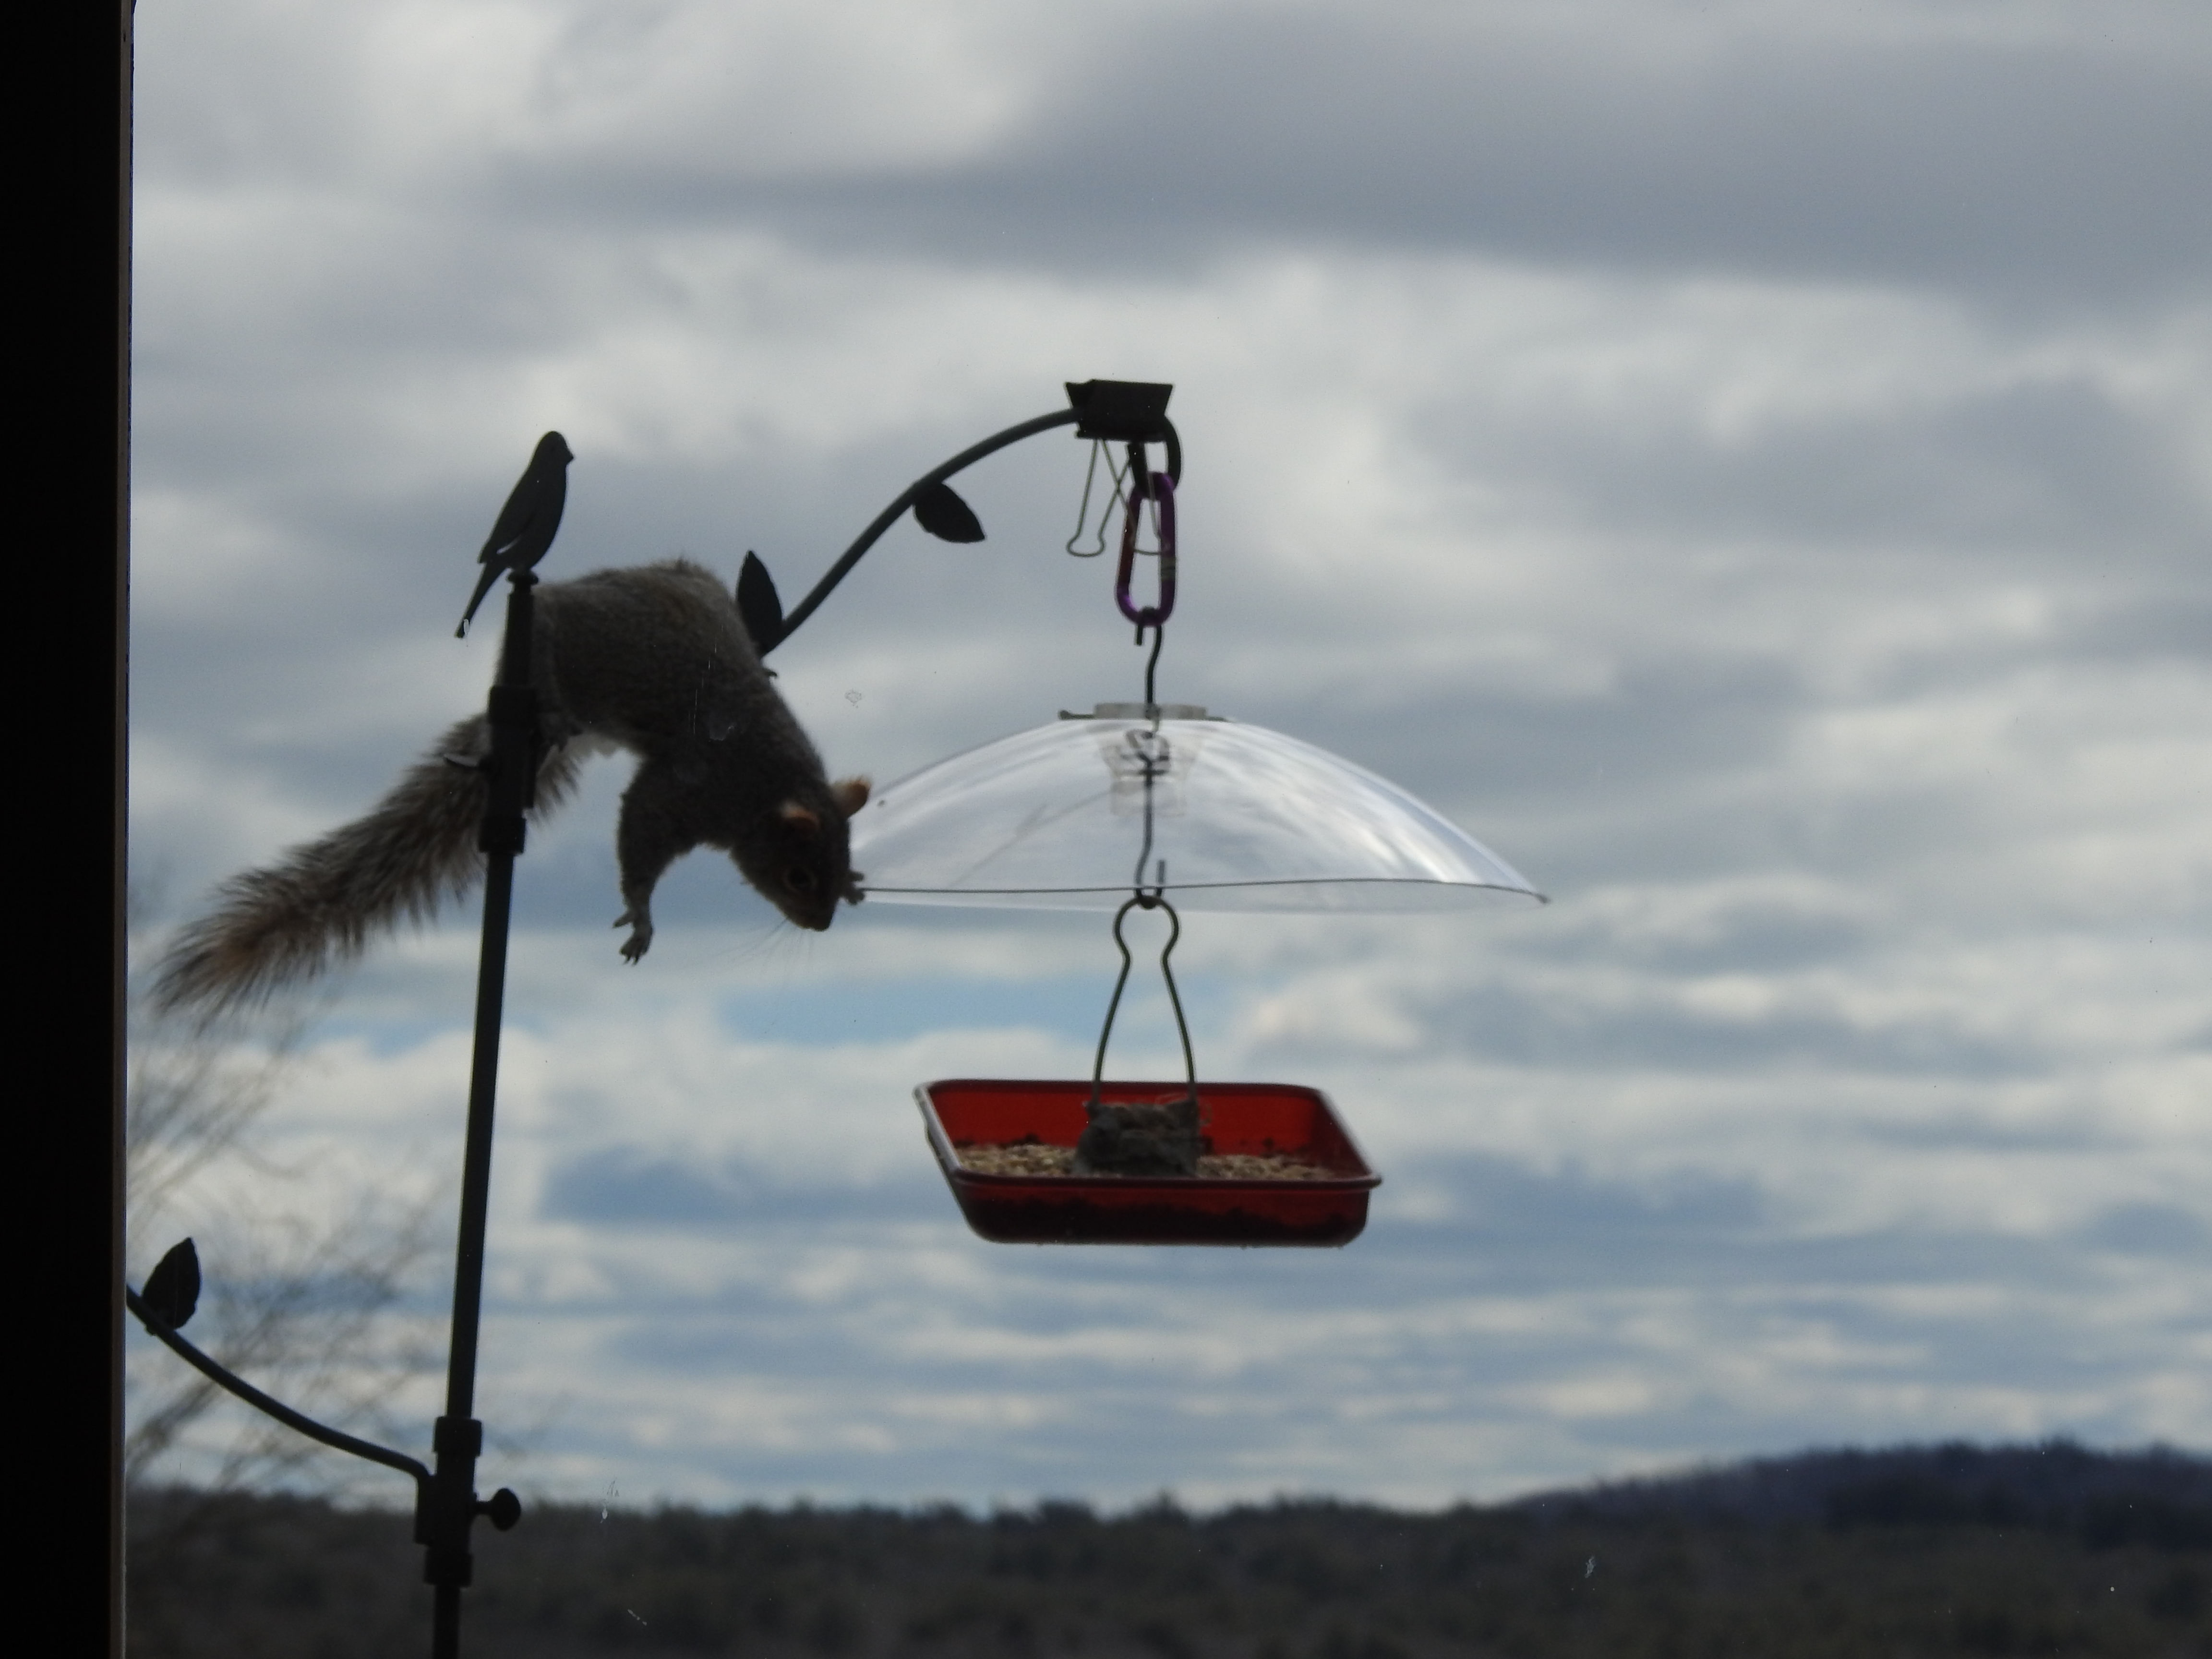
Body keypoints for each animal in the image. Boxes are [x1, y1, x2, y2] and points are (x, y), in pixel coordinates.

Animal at [153, 558, 870, 1018]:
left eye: (841, 863)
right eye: (798, 876)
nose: (822, 924)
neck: (770, 787)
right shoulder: (691, 790)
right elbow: (641, 837)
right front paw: (641, 915)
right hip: (569, 645)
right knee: (548, 627)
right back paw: (548, 692)